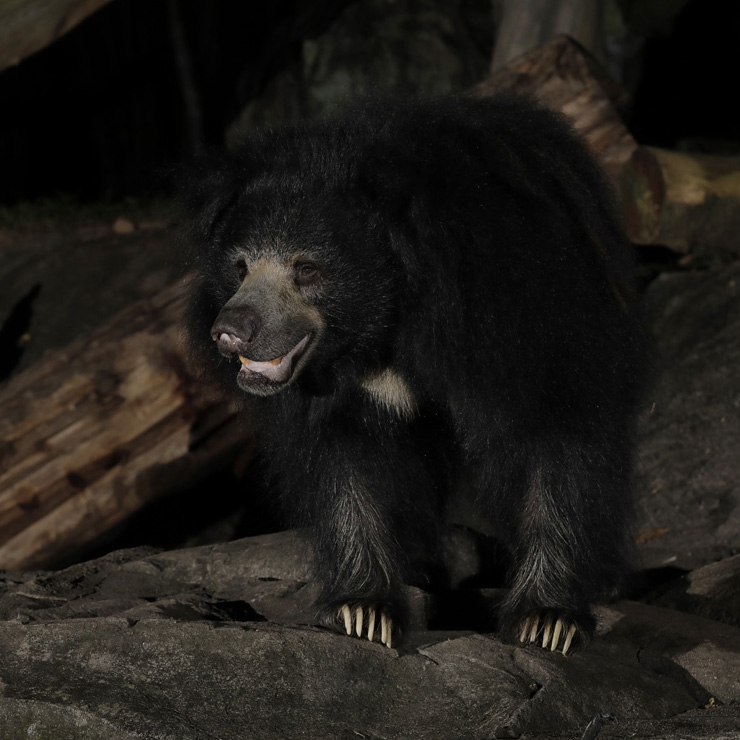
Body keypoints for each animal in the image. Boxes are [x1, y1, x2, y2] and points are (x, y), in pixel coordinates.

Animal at [183, 94, 650, 654]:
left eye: (307, 269)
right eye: (239, 267)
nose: (230, 332)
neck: (384, 324)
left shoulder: (520, 305)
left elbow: (558, 433)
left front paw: (547, 621)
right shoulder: (338, 392)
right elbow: (342, 461)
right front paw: (363, 612)